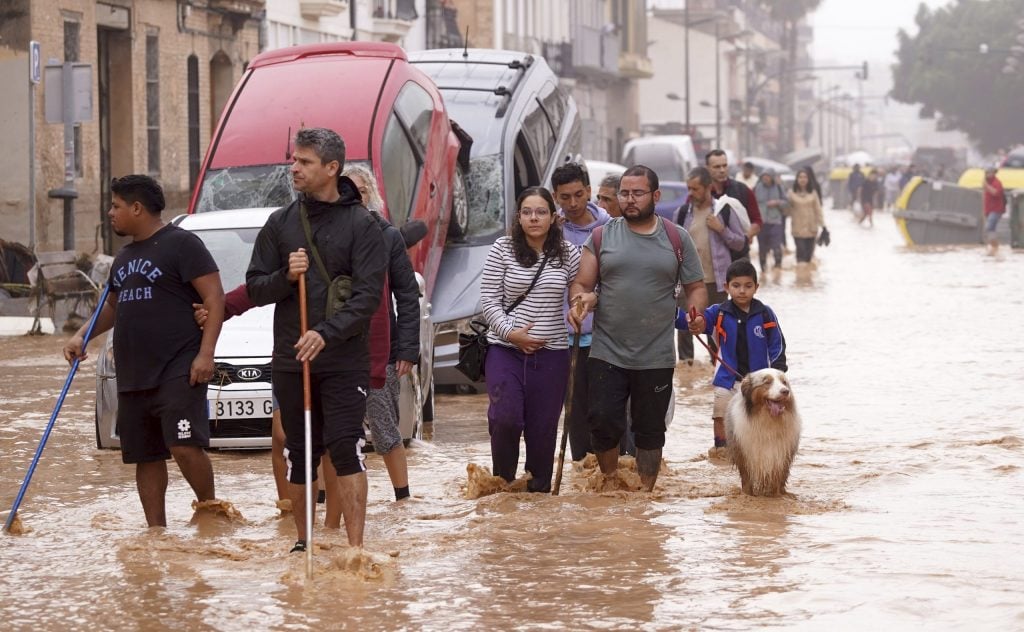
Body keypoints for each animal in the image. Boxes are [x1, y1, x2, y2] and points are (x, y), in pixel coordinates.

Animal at [724, 366, 802, 495]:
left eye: (784, 382)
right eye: (767, 382)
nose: (785, 391)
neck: (768, 420)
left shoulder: (781, 456)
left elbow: (778, 479)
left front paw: (777, 495)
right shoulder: (744, 454)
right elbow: (747, 479)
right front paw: (747, 495)